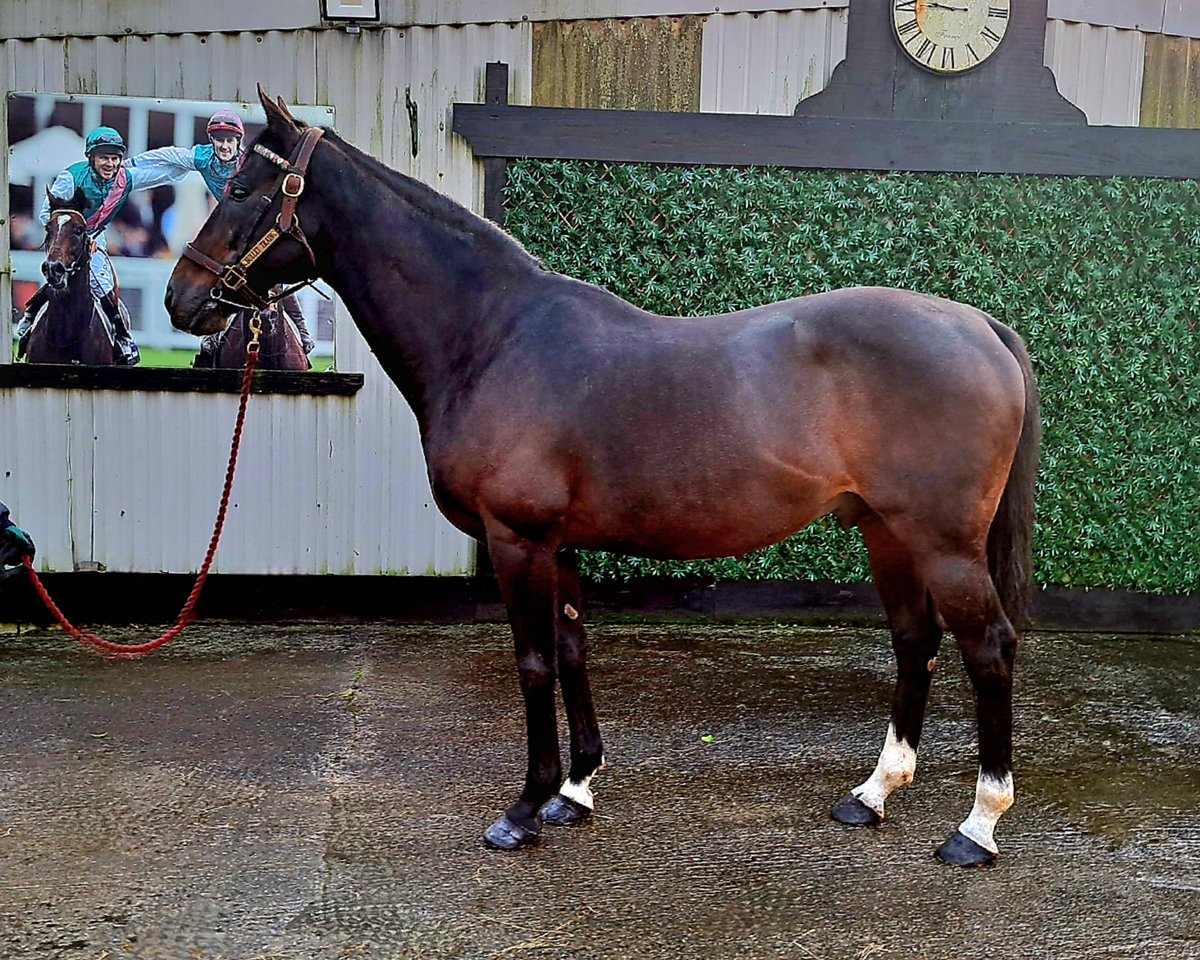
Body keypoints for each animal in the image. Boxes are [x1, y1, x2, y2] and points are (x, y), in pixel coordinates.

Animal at [165, 87, 1040, 868]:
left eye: (239, 190)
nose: (180, 298)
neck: (494, 336)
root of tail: (980, 326)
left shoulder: (516, 540)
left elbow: (533, 663)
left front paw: (523, 809)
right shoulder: (560, 544)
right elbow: (573, 648)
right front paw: (574, 791)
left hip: (943, 543)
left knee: (987, 647)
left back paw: (976, 827)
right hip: (886, 532)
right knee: (915, 641)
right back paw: (872, 795)